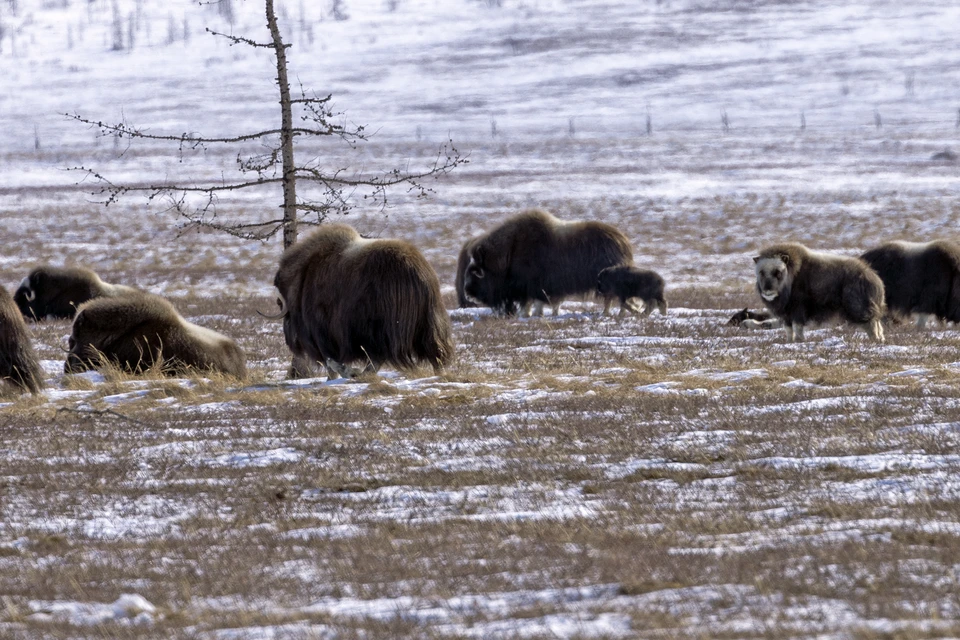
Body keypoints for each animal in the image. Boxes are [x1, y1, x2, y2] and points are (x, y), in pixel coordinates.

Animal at [268, 224, 452, 380]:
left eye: (279, 303)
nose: (290, 341)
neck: (302, 278)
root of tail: (419, 271)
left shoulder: (321, 331)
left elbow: (330, 360)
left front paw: (346, 373)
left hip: (381, 329)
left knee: (378, 357)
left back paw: (361, 374)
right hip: (430, 322)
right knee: (435, 351)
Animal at [464, 208, 632, 316]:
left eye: (476, 271)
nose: (468, 294)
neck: (508, 254)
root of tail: (623, 241)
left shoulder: (532, 285)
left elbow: (532, 301)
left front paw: (530, 314)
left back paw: (609, 313)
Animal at [752, 242, 888, 342]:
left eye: (778, 272)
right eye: (761, 272)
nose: (768, 290)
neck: (791, 277)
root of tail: (874, 277)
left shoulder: (798, 309)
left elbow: (797, 326)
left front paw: (799, 341)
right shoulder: (786, 313)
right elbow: (788, 329)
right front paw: (789, 342)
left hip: (859, 307)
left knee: (870, 323)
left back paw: (874, 340)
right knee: (877, 323)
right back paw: (880, 339)